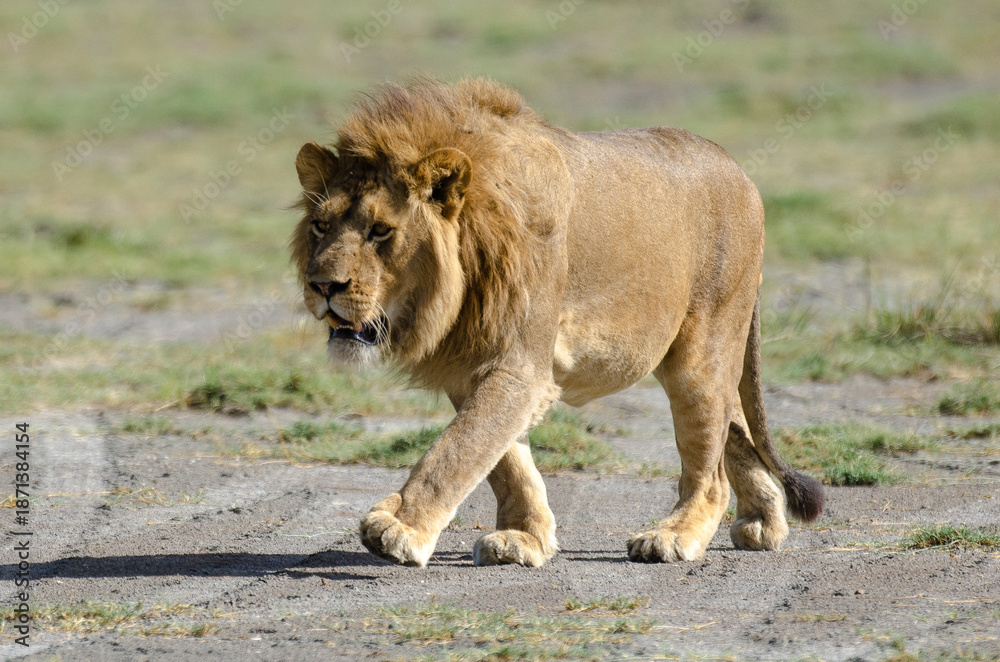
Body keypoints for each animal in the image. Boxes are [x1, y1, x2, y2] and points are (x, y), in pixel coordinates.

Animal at [291, 77, 824, 568]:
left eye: (381, 231)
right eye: (321, 226)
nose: (322, 286)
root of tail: (739, 169)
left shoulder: (519, 363)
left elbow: (458, 448)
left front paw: (399, 527)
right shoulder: (471, 365)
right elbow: (504, 460)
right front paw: (525, 539)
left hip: (701, 353)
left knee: (709, 470)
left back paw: (673, 537)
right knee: (737, 428)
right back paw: (763, 521)